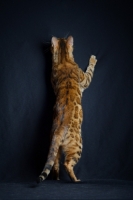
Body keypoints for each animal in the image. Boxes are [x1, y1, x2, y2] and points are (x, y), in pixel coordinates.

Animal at [37, 36, 97, 183]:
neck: (64, 61)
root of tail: (59, 130)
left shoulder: (53, 77)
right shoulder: (84, 79)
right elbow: (90, 71)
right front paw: (93, 59)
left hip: (55, 147)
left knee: (55, 163)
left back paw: (57, 179)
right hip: (78, 145)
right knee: (67, 164)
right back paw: (76, 180)